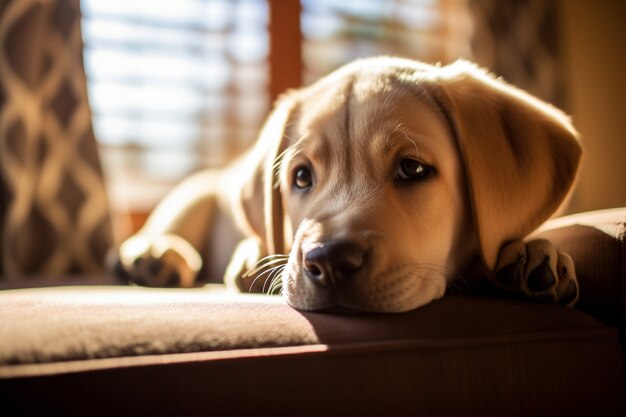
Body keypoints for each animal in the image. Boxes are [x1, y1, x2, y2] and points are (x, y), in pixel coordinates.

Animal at [114, 56, 584, 312]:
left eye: (412, 169)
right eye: (302, 176)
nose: (330, 261)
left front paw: (528, 254)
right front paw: (255, 259)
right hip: (195, 194)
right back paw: (156, 255)